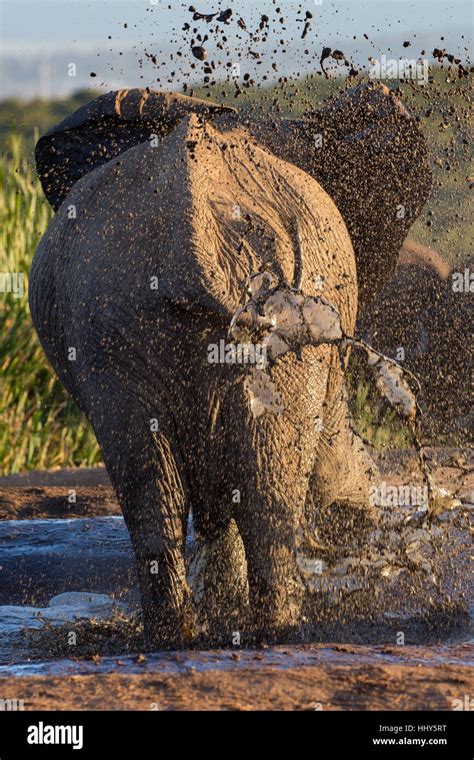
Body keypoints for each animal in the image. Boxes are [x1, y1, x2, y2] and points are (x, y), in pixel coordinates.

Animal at [28, 86, 430, 652]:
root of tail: (196, 242)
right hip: (130, 329)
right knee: (243, 493)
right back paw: (260, 632)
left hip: (143, 332)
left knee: (176, 489)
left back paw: (196, 636)